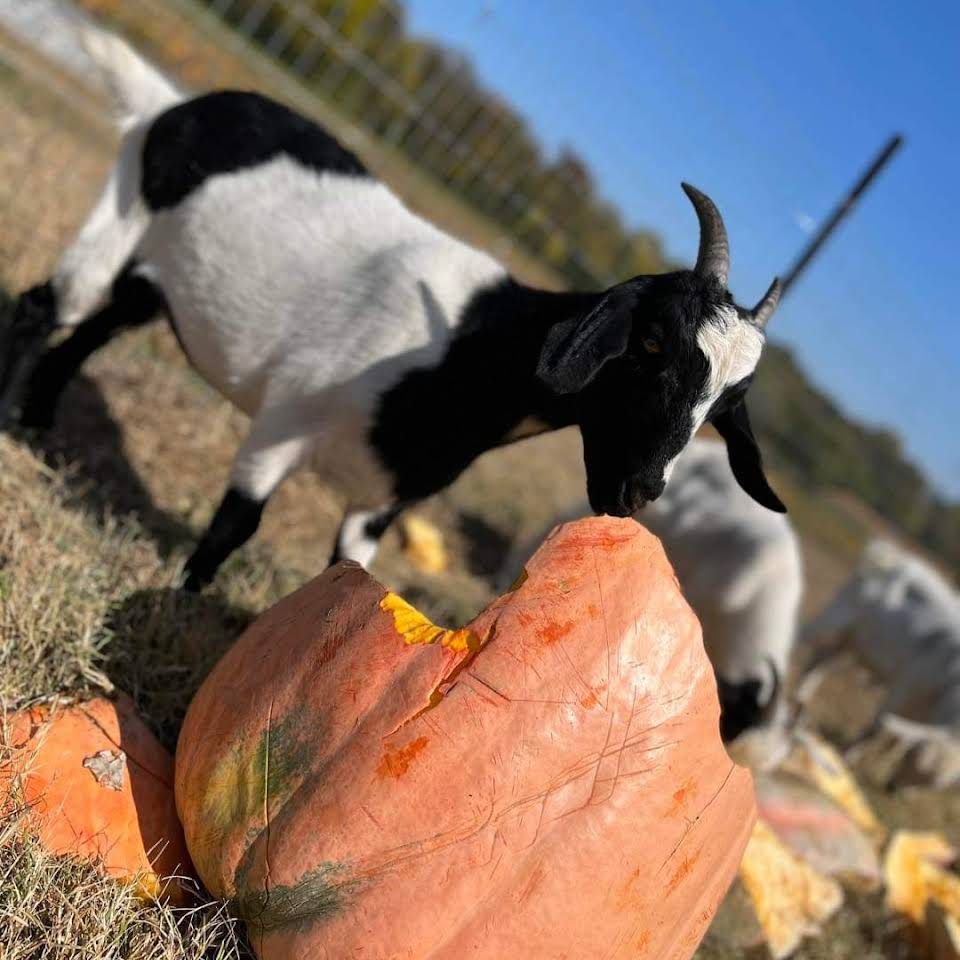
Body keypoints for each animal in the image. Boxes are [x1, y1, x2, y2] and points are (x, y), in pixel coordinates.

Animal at [0, 23, 783, 590]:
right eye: (652, 343)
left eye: (726, 405)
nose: (638, 490)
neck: (462, 353)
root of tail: (171, 107)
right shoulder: (283, 424)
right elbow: (235, 526)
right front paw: (181, 601)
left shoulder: (381, 499)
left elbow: (346, 575)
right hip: (120, 215)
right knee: (48, 308)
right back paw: (15, 416)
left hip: (153, 273)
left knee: (99, 328)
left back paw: (39, 423)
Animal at [798, 539, 960, 786]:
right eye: (921, 763)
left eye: (942, 783)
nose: (892, 788)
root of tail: (892, 555)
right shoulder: (905, 687)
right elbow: (878, 726)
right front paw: (847, 755)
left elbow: (899, 738)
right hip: (836, 617)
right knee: (801, 636)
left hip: (850, 639)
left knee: (821, 661)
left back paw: (802, 697)